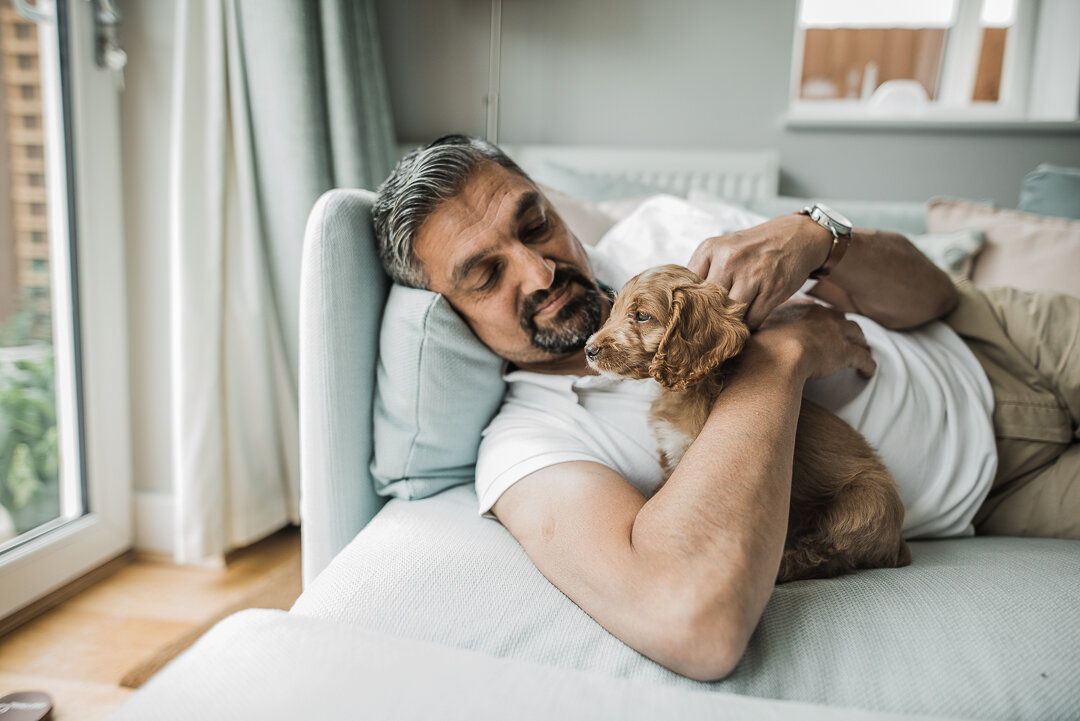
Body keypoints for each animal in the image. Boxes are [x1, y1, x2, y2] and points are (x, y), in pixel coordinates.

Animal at [587, 267, 907, 582]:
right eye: (614, 310)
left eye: (642, 316)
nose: (589, 349)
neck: (688, 391)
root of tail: (897, 546)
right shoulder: (672, 455)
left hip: (866, 500)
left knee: (828, 554)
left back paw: (785, 565)